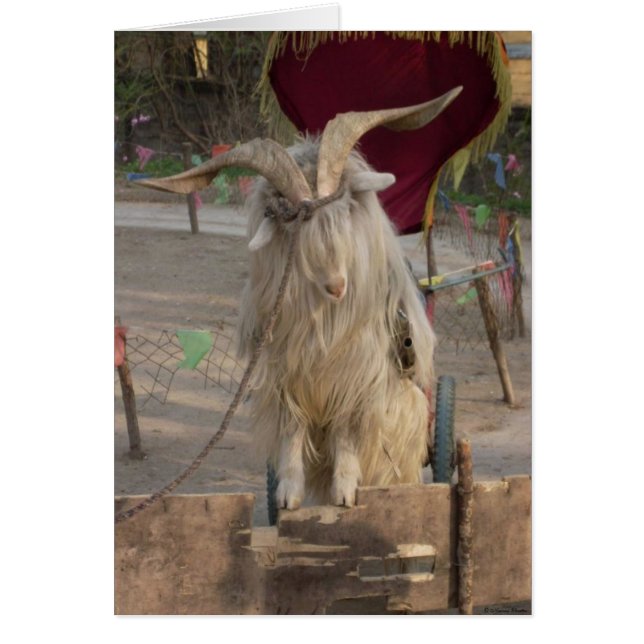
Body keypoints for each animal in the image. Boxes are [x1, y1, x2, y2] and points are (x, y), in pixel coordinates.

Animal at [138, 86, 462, 510]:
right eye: (294, 224)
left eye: (345, 213)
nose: (338, 286)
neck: (324, 320)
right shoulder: (285, 373)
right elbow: (291, 430)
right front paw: (287, 493)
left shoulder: (356, 377)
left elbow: (344, 432)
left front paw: (345, 491)